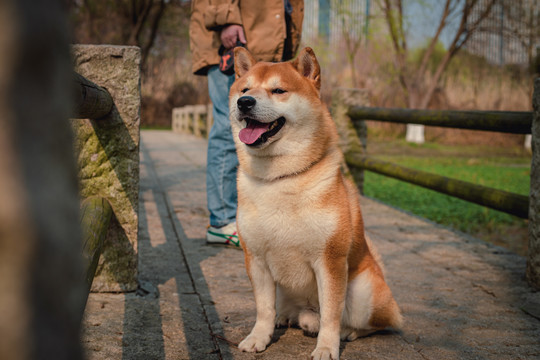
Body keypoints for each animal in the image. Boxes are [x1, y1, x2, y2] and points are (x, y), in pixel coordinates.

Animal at [228, 47, 400, 360]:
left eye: (278, 90)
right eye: (244, 89)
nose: (244, 102)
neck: (280, 178)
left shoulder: (330, 261)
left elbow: (331, 314)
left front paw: (327, 347)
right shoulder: (255, 258)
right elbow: (263, 308)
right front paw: (259, 337)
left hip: (363, 293)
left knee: (372, 323)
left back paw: (347, 332)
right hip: (287, 290)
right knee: (290, 311)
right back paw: (286, 317)